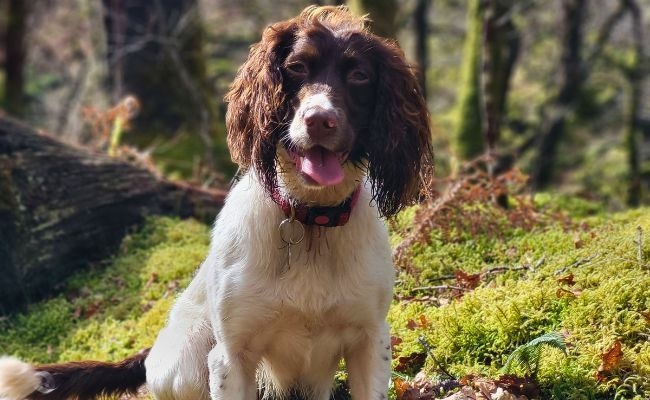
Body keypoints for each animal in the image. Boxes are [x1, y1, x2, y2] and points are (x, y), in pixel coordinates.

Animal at [0, 6, 430, 400]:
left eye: (360, 75)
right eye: (296, 67)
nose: (319, 120)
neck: (309, 220)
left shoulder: (370, 342)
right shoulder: (231, 355)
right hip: (189, 360)